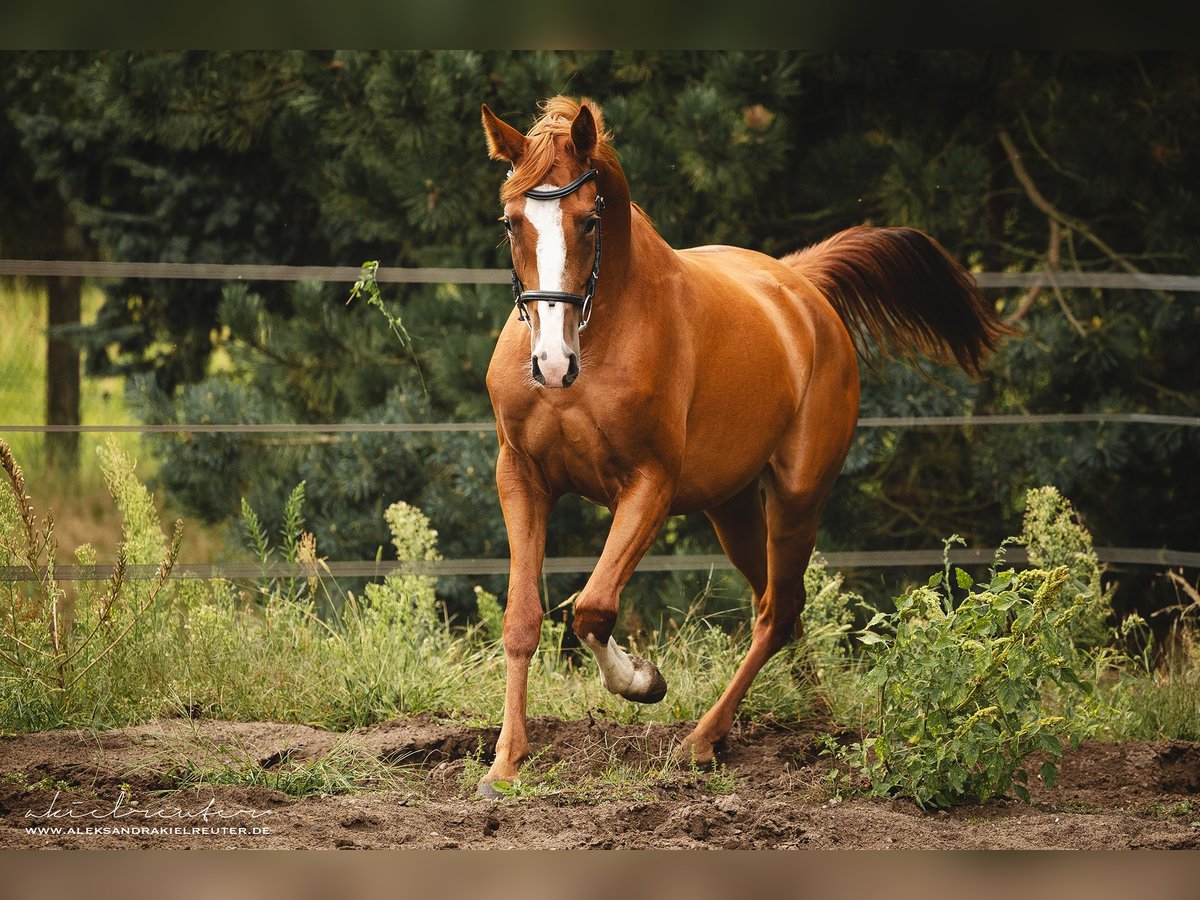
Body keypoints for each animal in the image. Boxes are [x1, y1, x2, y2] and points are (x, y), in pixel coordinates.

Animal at [472, 97, 1008, 796]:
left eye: (589, 220)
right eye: (512, 223)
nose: (553, 364)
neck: (605, 328)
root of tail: (804, 289)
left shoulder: (648, 486)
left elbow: (592, 608)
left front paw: (643, 681)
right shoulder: (522, 477)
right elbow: (522, 619)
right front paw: (506, 763)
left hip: (797, 496)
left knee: (778, 610)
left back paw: (703, 739)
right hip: (731, 507)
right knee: (777, 605)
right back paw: (816, 717)